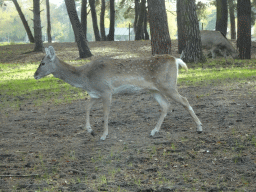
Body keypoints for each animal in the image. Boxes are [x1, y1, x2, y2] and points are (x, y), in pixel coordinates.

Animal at [34, 46, 202, 140]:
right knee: (166, 106)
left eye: (42, 63)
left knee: (184, 100)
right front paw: (90, 130)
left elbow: (105, 113)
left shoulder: (106, 90)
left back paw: (199, 127)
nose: (34, 75)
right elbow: (86, 107)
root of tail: (176, 60)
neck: (85, 78)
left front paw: (103, 135)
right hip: (155, 89)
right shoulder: (96, 93)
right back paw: (154, 131)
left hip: (168, 85)